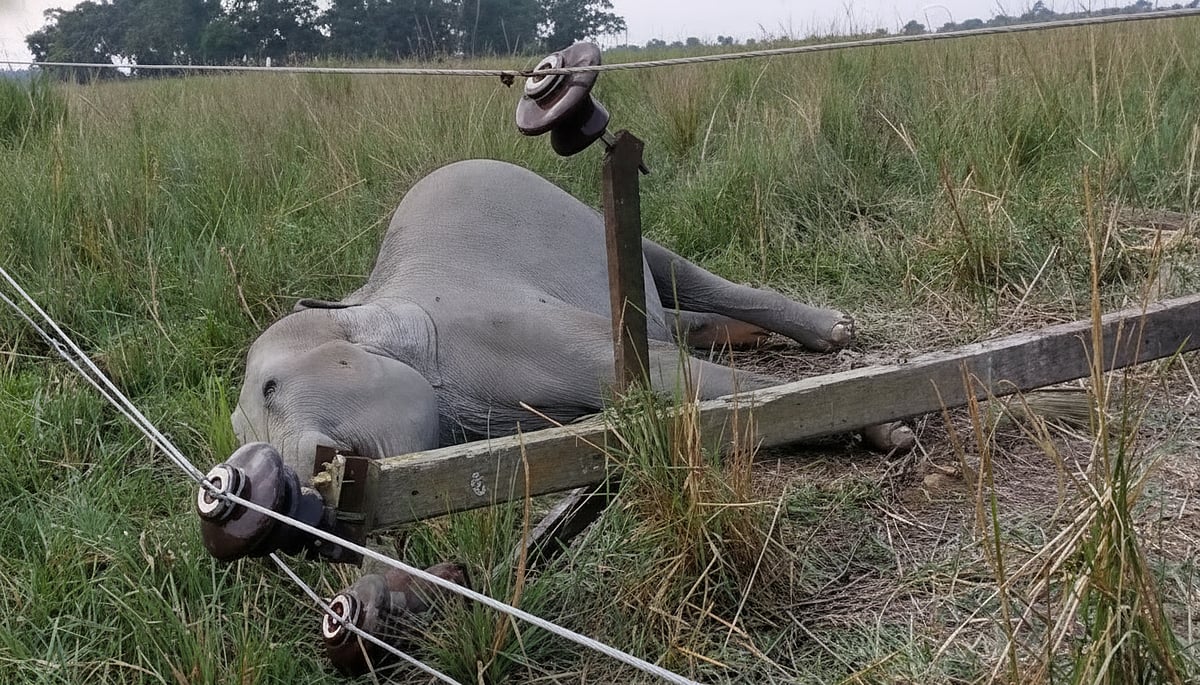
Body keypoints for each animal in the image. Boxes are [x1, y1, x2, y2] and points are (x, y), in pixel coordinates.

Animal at [231, 159, 911, 483]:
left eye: (271, 389)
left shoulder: (501, 329)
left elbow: (672, 380)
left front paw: (890, 429)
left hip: (598, 218)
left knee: (676, 270)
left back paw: (832, 331)